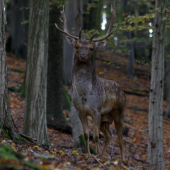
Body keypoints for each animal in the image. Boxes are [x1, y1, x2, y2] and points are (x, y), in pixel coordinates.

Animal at [55, 4, 125, 161]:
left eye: (91, 48)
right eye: (77, 46)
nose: (82, 55)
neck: (84, 94)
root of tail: (123, 91)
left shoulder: (97, 110)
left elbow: (95, 136)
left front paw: (96, 156)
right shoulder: (80, 111)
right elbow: (87, 135)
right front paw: (88, 154)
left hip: (119, 111)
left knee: (120, 138)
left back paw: (122, 160)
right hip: (106, 118)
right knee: (109, 136)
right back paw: (104, 156)